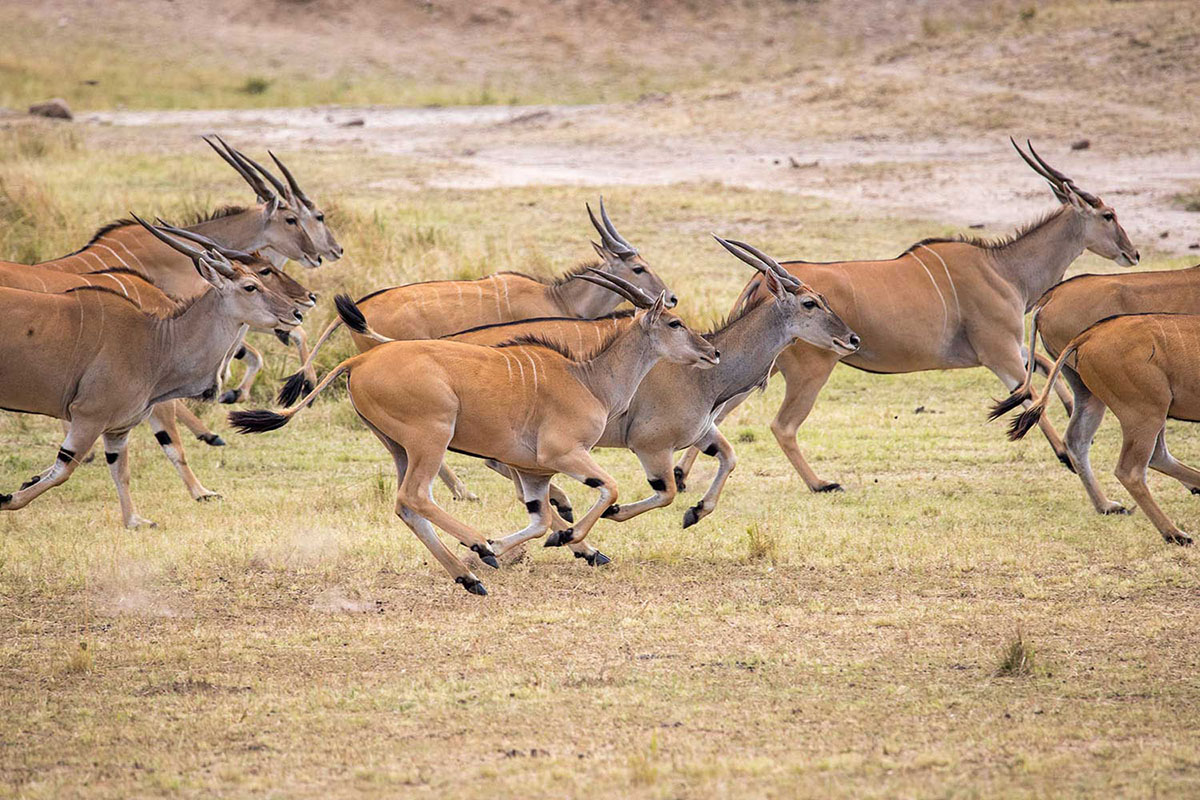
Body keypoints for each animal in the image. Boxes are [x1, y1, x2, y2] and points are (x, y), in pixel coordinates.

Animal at [0, 221, 300, 527]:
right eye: (251, 286)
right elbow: (64, 470)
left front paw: (134, 521)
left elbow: (120, 471)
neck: (155, 341)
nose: (296, 312)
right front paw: (8, 498)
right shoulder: (88, 416)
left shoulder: (117, 429)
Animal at [232, 273, 715, 594]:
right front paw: (564, 540)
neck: (588, 377)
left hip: (399, 447)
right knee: (416, 496)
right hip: (431, 438)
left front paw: (518, 544)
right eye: (674, 323)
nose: (711, 351)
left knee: (406, 507)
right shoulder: (563, 455)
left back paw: (468, 575)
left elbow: (539, 520)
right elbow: (607, 490)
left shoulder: (533, 473)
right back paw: (476, 545)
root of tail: (360, 361)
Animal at [451, 241, 864, 534]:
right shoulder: (651, 446)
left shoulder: (701, 433)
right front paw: (615, 512)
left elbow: (729, 458)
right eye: (809, 303)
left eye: (824, 298)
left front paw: (696, 512)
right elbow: (665, 492)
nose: (853, 339)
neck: (704, 375)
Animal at [672, 140, 1137, 496]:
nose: (1133, 253)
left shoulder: (1012, 348)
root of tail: (759, 282)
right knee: (781, 426)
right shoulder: (999, 351)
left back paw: (680, 472)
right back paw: (821, 484)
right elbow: (1027, 391)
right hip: (810, 370)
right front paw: (1064, 454)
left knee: (720, 413)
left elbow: (1044, 370)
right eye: (1108, 215)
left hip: (759, 370)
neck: (1004, 270)